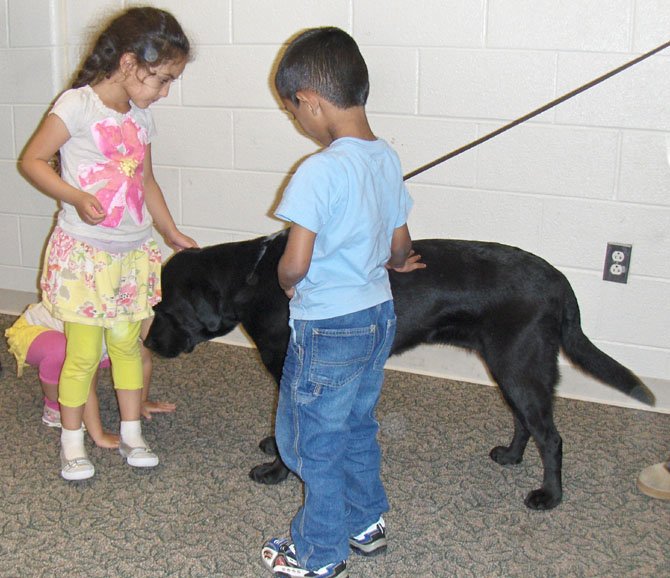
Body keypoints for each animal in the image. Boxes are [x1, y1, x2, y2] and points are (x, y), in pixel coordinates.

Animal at [146, 230, 656, 508]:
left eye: (164, 309)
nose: (148, 344)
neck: (254, 280)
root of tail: (560, 281)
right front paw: (274, 445)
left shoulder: (298, 371)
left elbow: (292, 429)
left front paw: (275, 471)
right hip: (509, 366)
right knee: (524, 421)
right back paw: (510, 457)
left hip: (520, 364)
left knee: (550, 436)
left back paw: (548, 497)